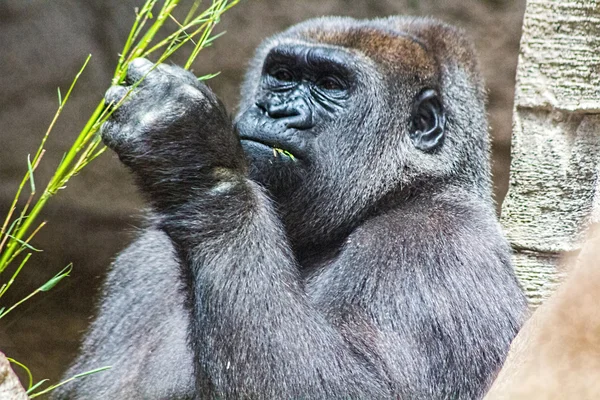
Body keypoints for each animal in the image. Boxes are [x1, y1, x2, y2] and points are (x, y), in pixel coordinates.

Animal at [54, 15, 528, 400]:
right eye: (281, 75)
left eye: (332, 85)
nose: (275, 109)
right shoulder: (143, 264)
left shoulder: (439, 242)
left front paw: (194, 162)